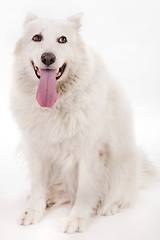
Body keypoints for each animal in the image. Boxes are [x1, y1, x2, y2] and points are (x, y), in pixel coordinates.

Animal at [10, 12, 154, 232]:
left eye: (62, 39)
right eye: (36, 38)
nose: (48, 58)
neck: (56, 105)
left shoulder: (90, 153)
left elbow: (85, 192)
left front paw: (76, 219)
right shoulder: (36, 148)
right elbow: (37, 185)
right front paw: (33, 211)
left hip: (122, 166)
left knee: (122, 194)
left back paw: (110, 206)